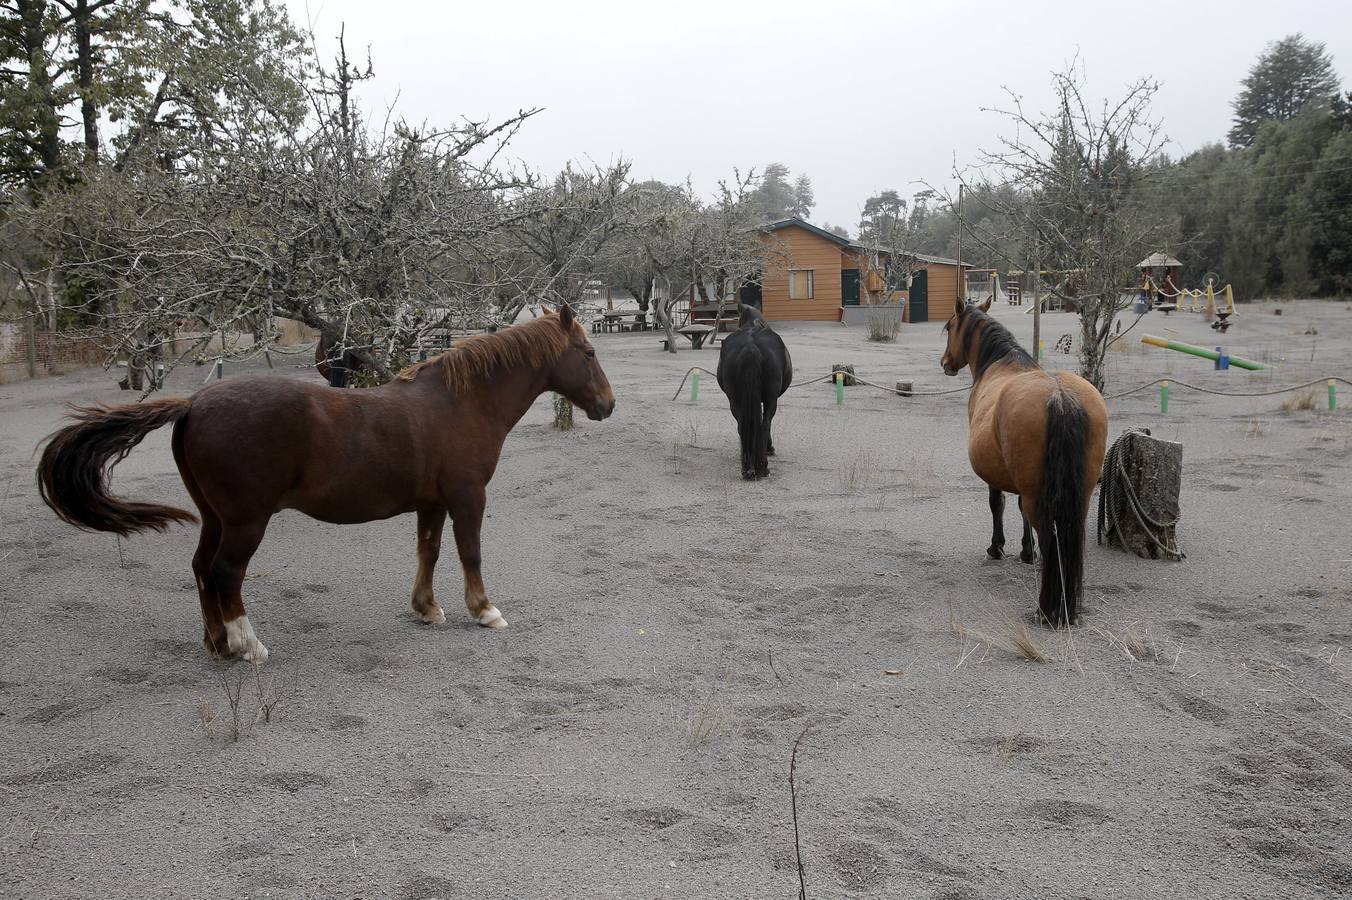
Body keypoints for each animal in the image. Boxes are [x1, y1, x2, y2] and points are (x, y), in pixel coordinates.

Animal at [35, 305, 619, 662]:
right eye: (589, 353)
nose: (608, 406)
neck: (458, 402)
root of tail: (195, 402)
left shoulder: (431, 503)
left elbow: (427, 552)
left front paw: (426, 608)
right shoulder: (467, 498)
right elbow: (469, 552)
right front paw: (485, 610)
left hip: (215, 517)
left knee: (202, 569)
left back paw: (218, 643)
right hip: (246, 521)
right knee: (225, 573)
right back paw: (249, 645)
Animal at [713, 302, 789, 475]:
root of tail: (751, 347)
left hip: (735, 400)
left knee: (742, 425)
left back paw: (747, 464)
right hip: (771, 399)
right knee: (765, 424)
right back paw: (762, 465)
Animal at [940, 297, 1108, 621]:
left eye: (949, 327)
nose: (945, 363)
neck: (1002, 362)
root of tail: (1060, 396)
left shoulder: (995, 475)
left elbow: (998, 505)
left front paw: (998, 547)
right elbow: (1019, 511)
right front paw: (1027, 552)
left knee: (1050, 538)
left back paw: (1049, 609)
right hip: (1078, 497)